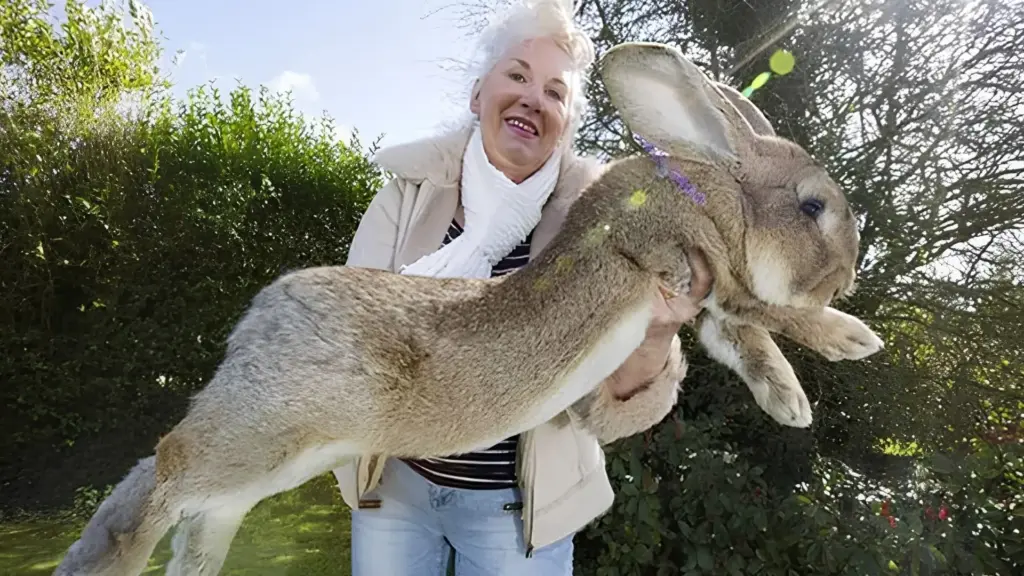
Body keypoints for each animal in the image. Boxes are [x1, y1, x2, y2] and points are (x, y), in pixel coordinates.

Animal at [52, 42, 883, 576]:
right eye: (813, 206)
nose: (849, 274)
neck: (714, 192)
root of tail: (256, 323)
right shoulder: (695, 266)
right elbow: (769, 316)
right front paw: (851, 339)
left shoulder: (707, 306)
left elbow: (746, 340)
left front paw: (792, 401)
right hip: (266, 432)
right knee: (165, 469)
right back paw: (110, 559)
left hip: (272, 462)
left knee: (197, 507)